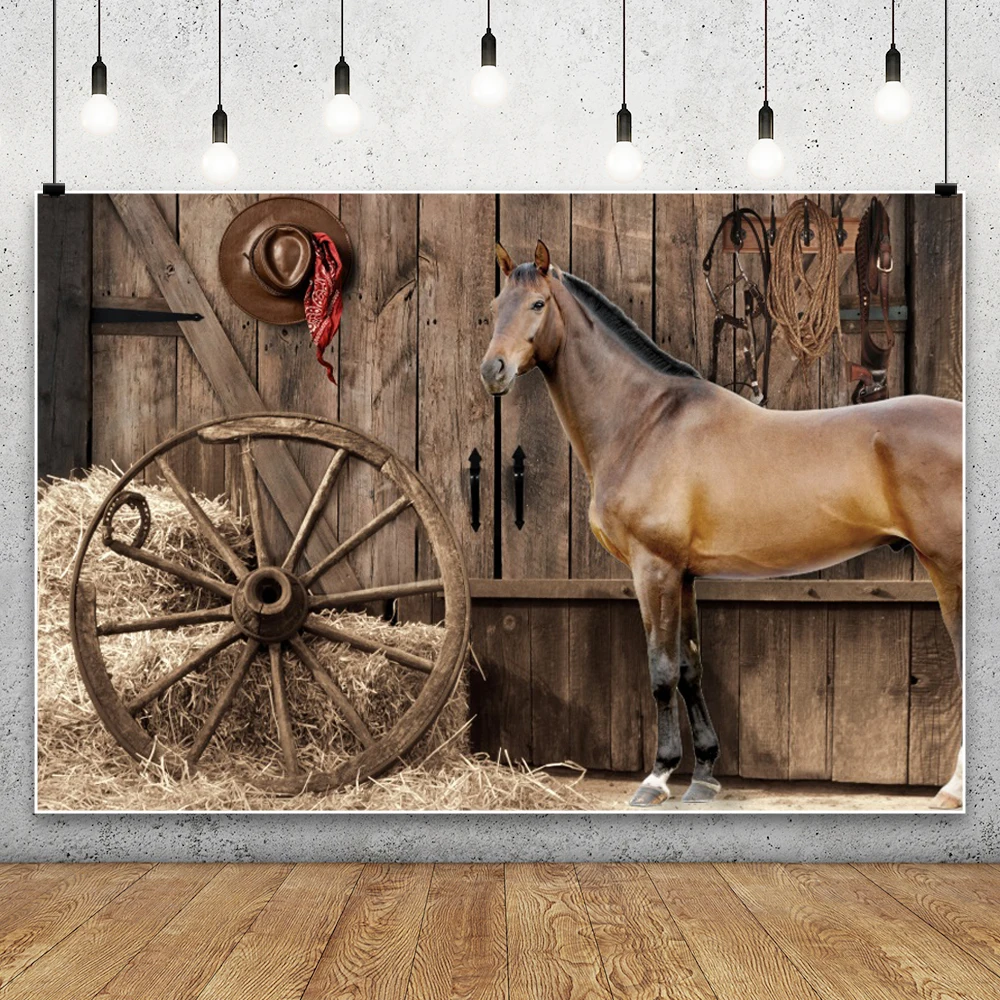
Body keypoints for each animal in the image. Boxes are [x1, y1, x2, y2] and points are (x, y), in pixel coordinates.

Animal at [480, 240, 964, 809]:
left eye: (537, 304)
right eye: (495, 307)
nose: (493, 370)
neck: (644, 421)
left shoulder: (654, 570)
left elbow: (662, 672)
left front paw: (658, 777)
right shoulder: (685, 576)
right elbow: (691, 669)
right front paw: (705, 775)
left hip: (949, 568)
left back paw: (952, 789)